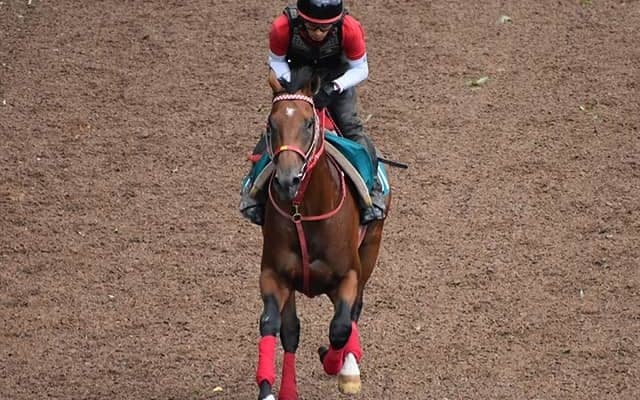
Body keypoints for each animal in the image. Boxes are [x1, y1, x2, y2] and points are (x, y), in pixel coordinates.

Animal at [253, 67, 390, 400]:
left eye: (308, 122)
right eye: (271, 124)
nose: (287, 179)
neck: (304, 212)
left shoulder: (349, 274)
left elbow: (340, 326)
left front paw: (336, 365)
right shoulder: (275, 274)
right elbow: (274, 325)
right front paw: (272, 391)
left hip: (371, 248)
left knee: (353, 313)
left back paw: (348, 364)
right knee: (290, 329)